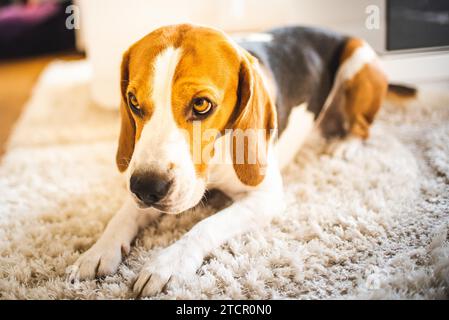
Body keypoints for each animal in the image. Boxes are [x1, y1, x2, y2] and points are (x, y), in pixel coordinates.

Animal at [68, 23, 414, 296]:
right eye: (134, 102)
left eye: (202, 104)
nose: (146, 188)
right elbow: (123, 215)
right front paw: (99, 250)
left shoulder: (266, 197)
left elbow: (206, 225)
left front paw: (169, 262)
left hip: (358, 60)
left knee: (363, 127)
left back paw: (345, 146)